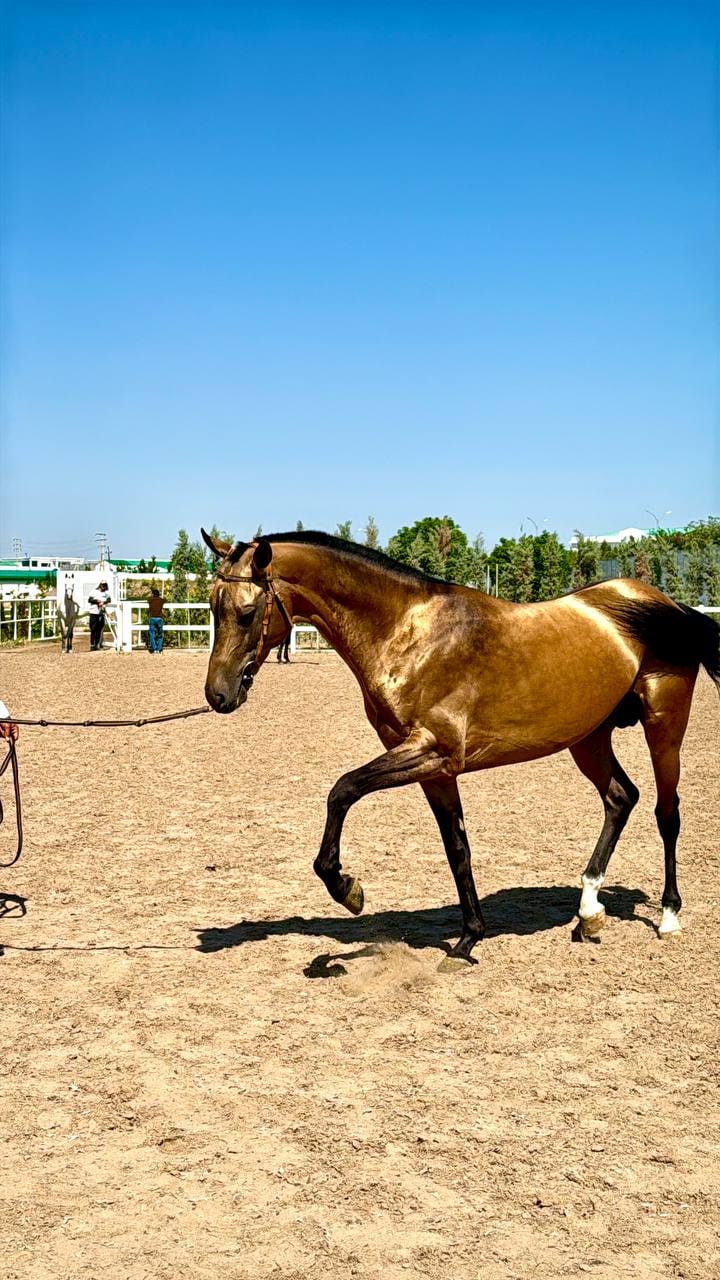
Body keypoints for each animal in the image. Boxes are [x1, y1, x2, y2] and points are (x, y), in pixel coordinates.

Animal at [201, 528, 719, 970]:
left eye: (247, 612)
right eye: (211, 607)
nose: (218, 695)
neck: (409, 634)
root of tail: (665, 603)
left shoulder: (433, 752)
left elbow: (342, 790)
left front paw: (346, 888)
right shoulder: (435, 771)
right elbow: (457, 848)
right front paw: (468, 939)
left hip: (664, 724)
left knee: (666, 812)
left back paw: (669, 916)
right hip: (588, 738)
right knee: (620, 798)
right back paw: (588, 911)